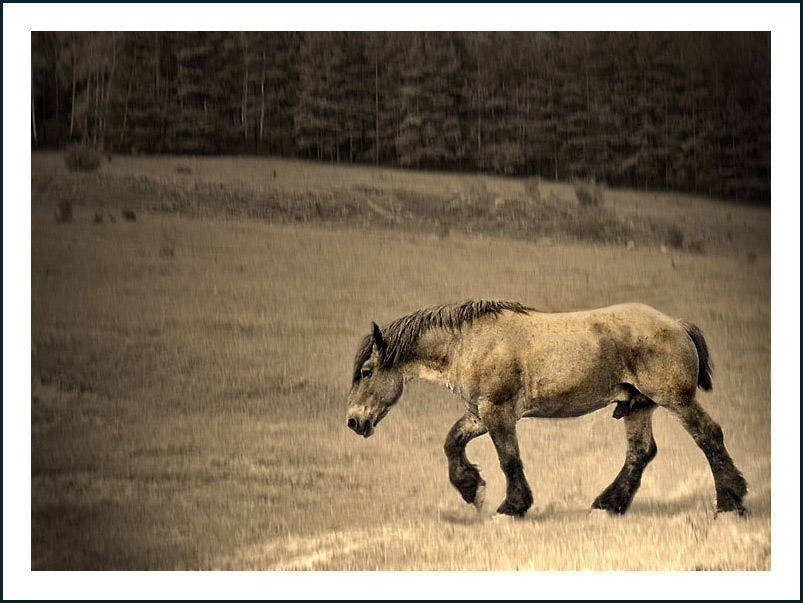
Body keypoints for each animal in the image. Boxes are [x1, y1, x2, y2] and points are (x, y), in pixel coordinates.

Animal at [346, 300, 747, 517]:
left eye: (366, 372)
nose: (353, 421)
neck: (470, 344)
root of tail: (677, 324)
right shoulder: (480, 414)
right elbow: (452, 442)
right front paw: (471, 488)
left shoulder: (499, 413)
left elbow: (509, 459)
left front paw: (512, 507)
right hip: (637, 406)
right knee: (640, 453)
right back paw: (608, 504)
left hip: (676, 400)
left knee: (709, 436)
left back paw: (730, 502)